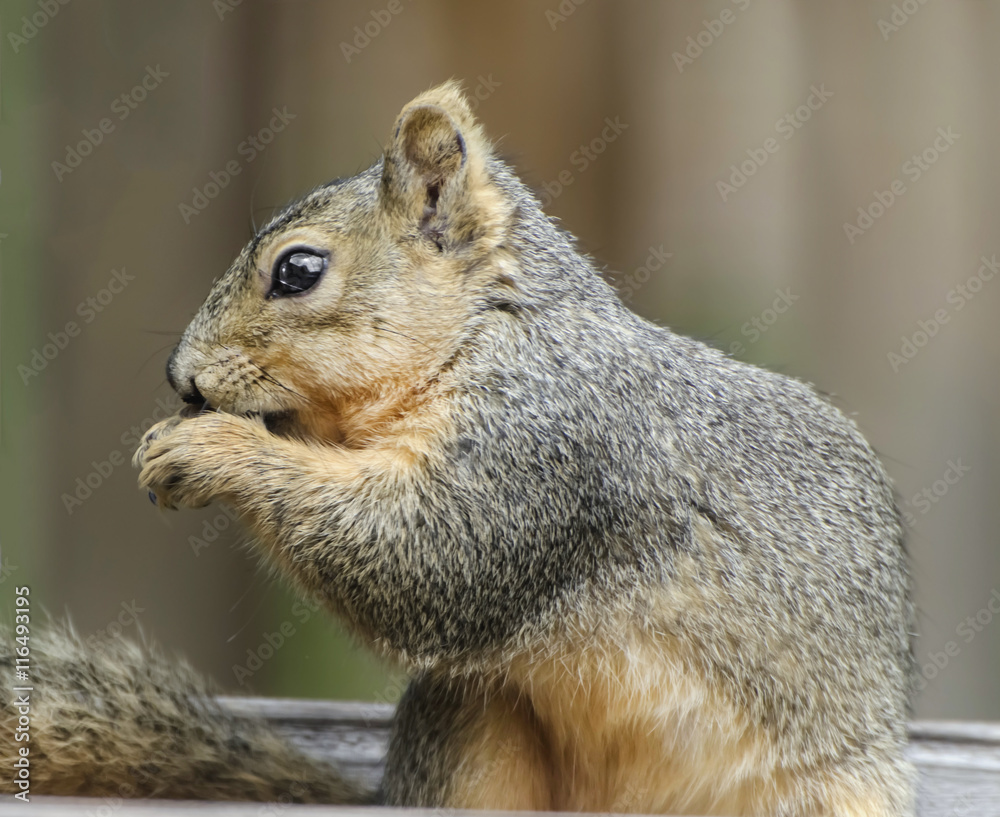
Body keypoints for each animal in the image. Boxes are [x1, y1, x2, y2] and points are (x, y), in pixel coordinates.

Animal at [1, 82, 915, 815]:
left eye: (297, 271)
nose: (179, 374)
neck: (483, 332)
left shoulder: (545, 446)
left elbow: (426, 549)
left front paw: (210, 446)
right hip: (470, 725)